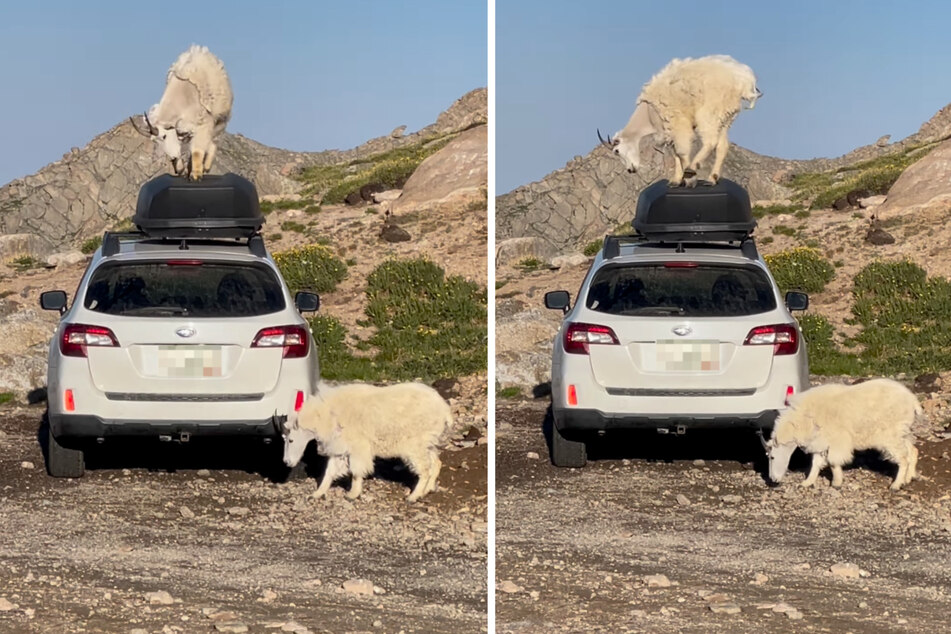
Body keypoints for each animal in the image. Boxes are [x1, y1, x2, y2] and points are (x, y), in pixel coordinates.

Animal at [132, 44, 234, 180]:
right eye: (154, 141)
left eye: (164, 136)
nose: (173, 157)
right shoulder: (181, 130)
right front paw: (181, 168)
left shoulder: (202, 123)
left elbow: (197, 150)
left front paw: (196, 175)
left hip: (220, 120)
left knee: (212, 141)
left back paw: (206, 166)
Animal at [600, 54, 764, 185]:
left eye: (617, 151)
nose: (630, 169)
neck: (649, 113)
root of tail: (744, 80)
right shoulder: (670, 130)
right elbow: (676, 155)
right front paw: (676, 180)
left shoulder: (678, 124)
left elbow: (682, 152)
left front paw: (689, 178)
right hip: (725, 116)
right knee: (722, 145)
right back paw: (712, 178)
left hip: (710, 112)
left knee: (710, 141)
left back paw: (693, 167)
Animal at [768, 378, 924, 492]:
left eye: (772, 456)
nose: (773, 479)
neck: (802, 420)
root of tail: (913, 401)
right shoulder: (820, 441)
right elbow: (816, 463)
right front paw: (806, 482)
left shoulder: (836, 439)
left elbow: (833, 461)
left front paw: (836, 483)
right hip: (902, 432)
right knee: (912, 450)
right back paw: (908, 478)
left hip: (891, 435)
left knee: (903, 458)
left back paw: (896, 485)